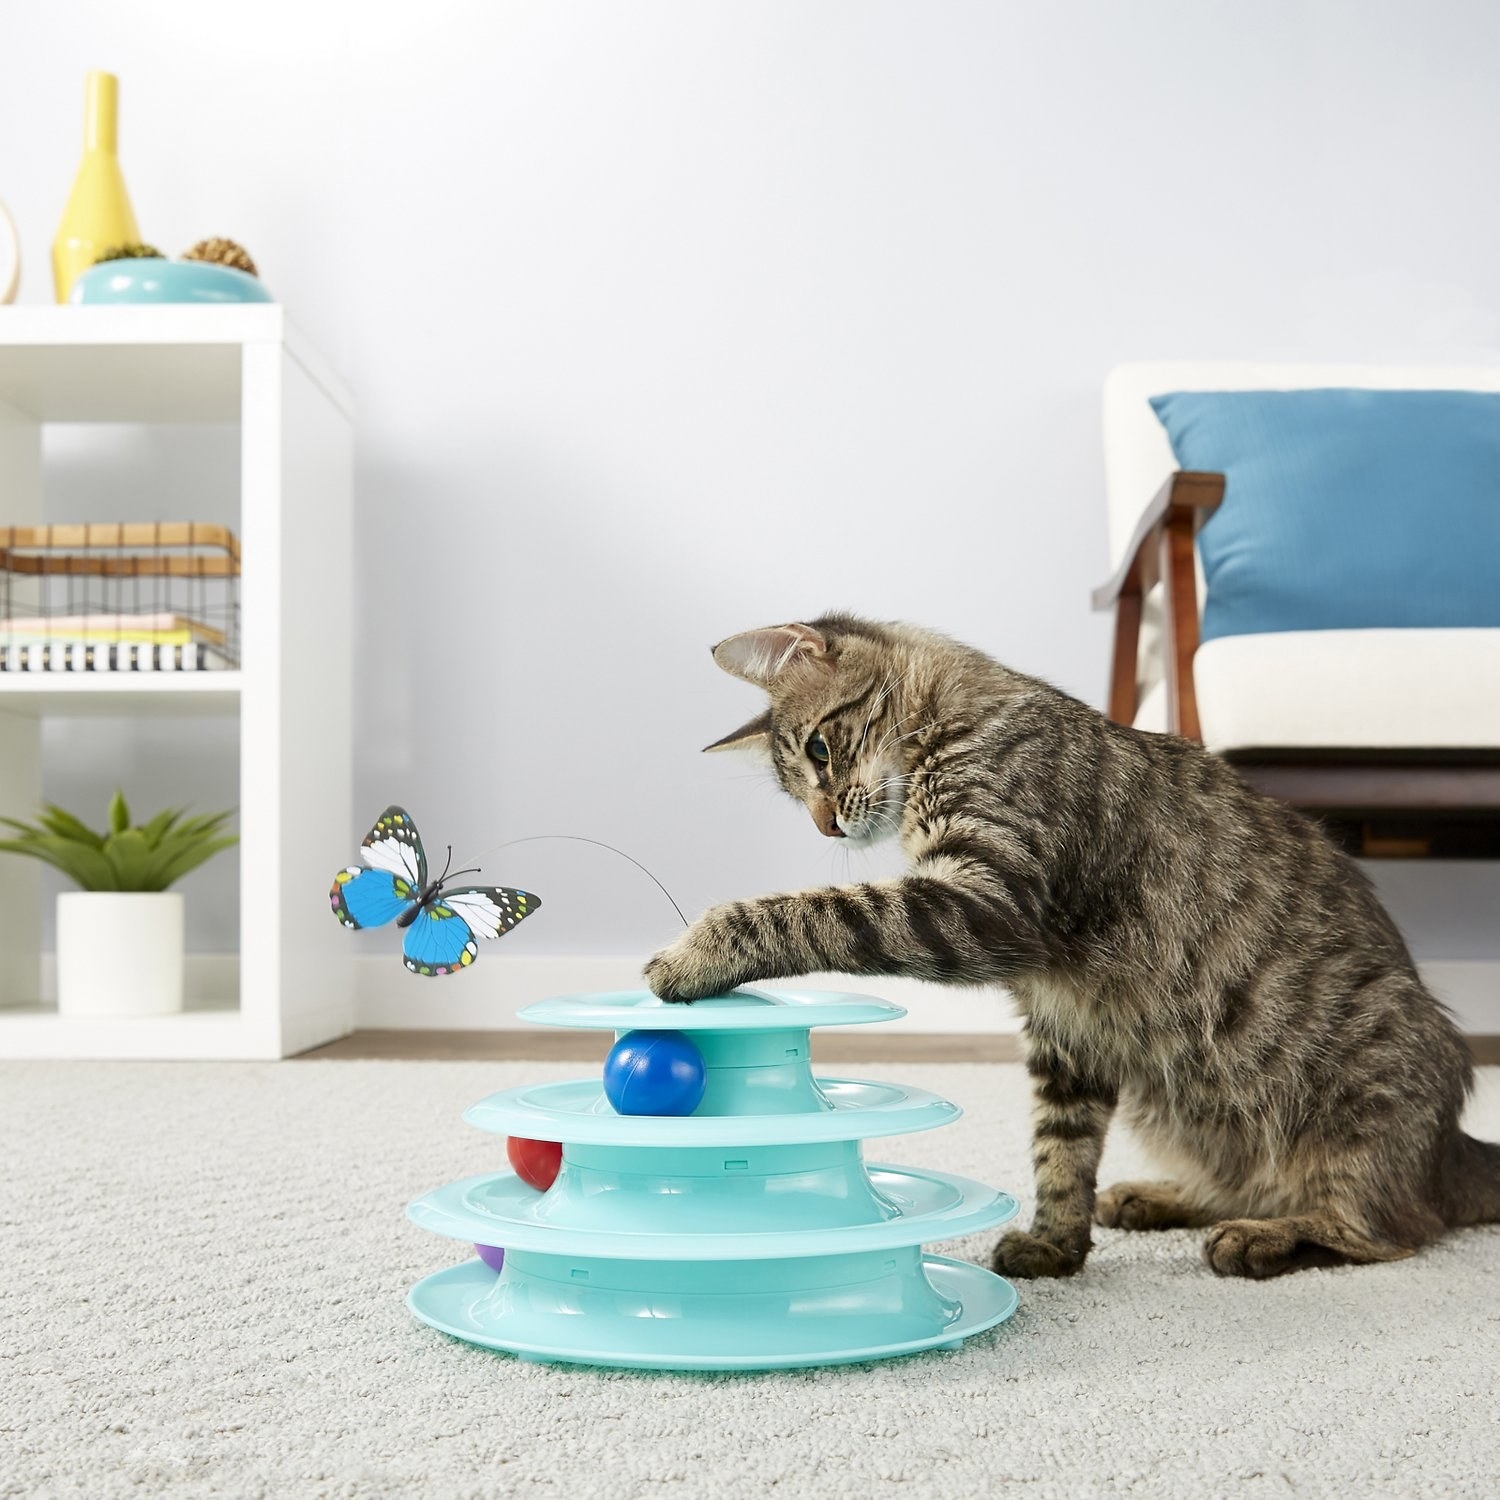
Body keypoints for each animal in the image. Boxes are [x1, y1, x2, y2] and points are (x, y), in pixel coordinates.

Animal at [645, 609, 1500, 1278]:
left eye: (821, 751)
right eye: (797, 790)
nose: (825, 825)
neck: (959, 724)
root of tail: (1452, 1149)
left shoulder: (983, 905)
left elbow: (800, 913)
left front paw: (693, 952)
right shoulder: (1065, 1024)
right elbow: (1061, 1151)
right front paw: (1057, 1244)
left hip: (1356, 1108)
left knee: (1383, 1230)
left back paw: (1264, 1239)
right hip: (1173, 1106)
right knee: (1247, 1180)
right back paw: (1160, 1196)